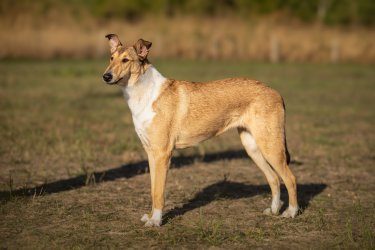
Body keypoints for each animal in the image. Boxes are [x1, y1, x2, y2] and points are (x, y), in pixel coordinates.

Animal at [102, 34, 300, 228]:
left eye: (126, 60)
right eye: (111, 58)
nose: (106, 76)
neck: (144, 93)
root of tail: (276, 92)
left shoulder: (162, 154)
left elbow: (159, 192)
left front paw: (156, 221)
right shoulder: (151, 153)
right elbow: (153, 190)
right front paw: (150, 217)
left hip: (270, 146)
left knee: (290, 178)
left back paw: (291, 212)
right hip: (252, 147)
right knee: (274, 178)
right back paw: (273, 210)